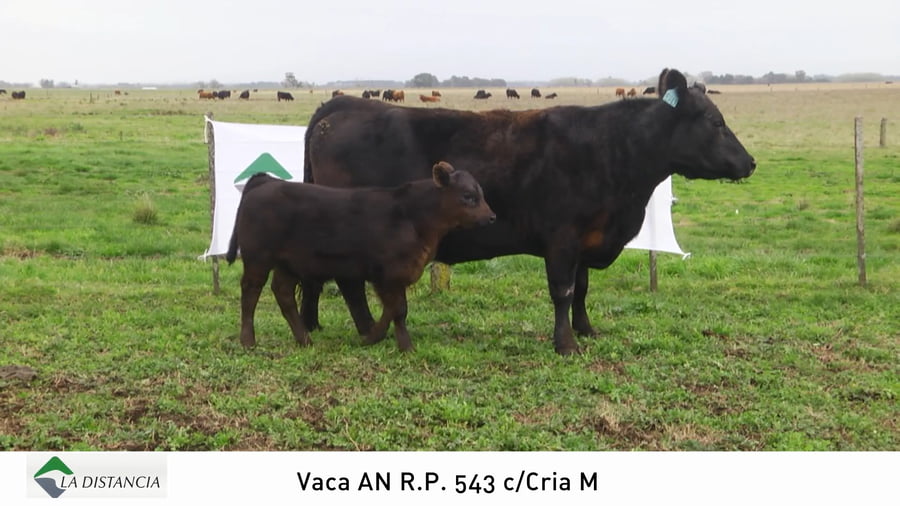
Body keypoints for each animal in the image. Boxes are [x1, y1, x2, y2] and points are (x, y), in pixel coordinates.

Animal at [225, 162, 495, 351]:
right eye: (468, 196)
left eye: (481, 194)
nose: (491, 217)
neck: (412, 217)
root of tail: (266, 182)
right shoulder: (389, 273)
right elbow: (398, 310)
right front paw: (404, 346)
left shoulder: (391, 276)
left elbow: (393, 308)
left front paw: (372, 337)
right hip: (258, 259)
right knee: (250, 292)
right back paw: (248, 341)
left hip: (288, 264)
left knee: (283, 293)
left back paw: (304, 340)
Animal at [301, 67, 756, 355]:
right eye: (715, 122)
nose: (750, 162)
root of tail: (342, 106)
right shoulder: (562, 238)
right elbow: (563, 290)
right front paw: (565, 344)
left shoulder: (585, 239)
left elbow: (583, 288)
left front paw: (587, 330)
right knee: (347, 282)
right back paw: (365, 331)